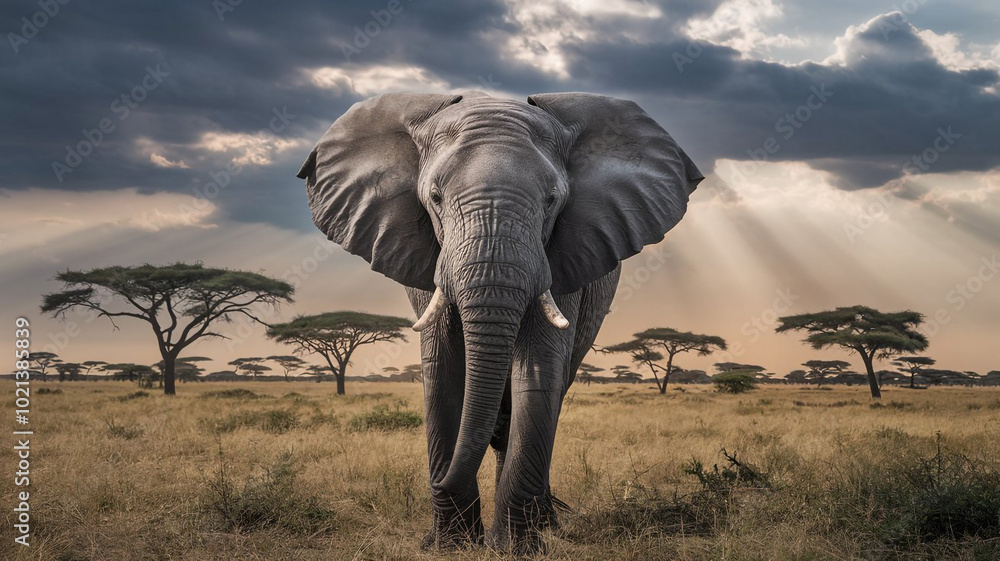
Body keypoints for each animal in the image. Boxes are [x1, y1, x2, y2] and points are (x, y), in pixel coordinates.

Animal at [296, 91, 703, 554]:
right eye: (435, 197)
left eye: (551, 200)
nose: (442, 480)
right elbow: (443, 373)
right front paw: (449, 545)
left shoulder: (561, 258)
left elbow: (539, 375)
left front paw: (517, 549)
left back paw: (539, 524)